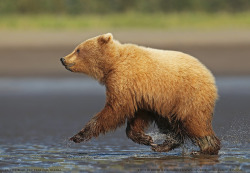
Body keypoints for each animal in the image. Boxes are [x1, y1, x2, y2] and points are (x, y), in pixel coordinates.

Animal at [60, 33, 221, 155]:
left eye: (78, 49)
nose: (63, 59)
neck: (111, 64)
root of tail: (209, 74)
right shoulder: (143, 93)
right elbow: (138, 115)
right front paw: (146, 139)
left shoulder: (125, 79)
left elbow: (115, 109)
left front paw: (78, 135)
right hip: (168, 103)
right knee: (169, 123)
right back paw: (163, 145)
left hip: (187, 95)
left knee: (194, 122)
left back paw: (205, 148)